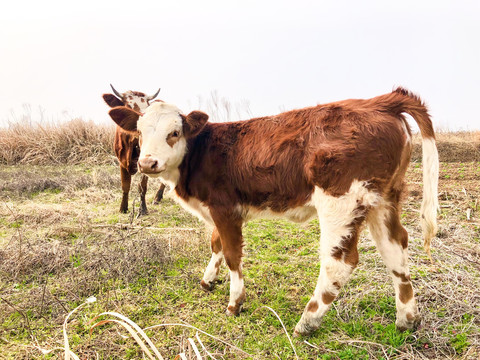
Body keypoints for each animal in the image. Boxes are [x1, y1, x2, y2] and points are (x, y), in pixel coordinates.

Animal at [102, 84, 166, 217]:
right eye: (128, 106)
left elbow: (142, 186)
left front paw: (143, 209)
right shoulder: (121, 161)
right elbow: (125, 185)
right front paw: (123, 208)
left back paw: (157, 197)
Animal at [109, 88, 438, 336]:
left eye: (174, 132)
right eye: (139, 133)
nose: (147, 163)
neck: (200, 152)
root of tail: (378, 102)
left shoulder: (225, 209)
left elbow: (232, 254)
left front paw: (235, 303)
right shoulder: (217, 211)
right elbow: (216, 243)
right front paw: (208, 281)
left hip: (341, 202)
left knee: (339, 262)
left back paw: (307, 321)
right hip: (384, 200)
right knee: (395, 248)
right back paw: (407, 319)